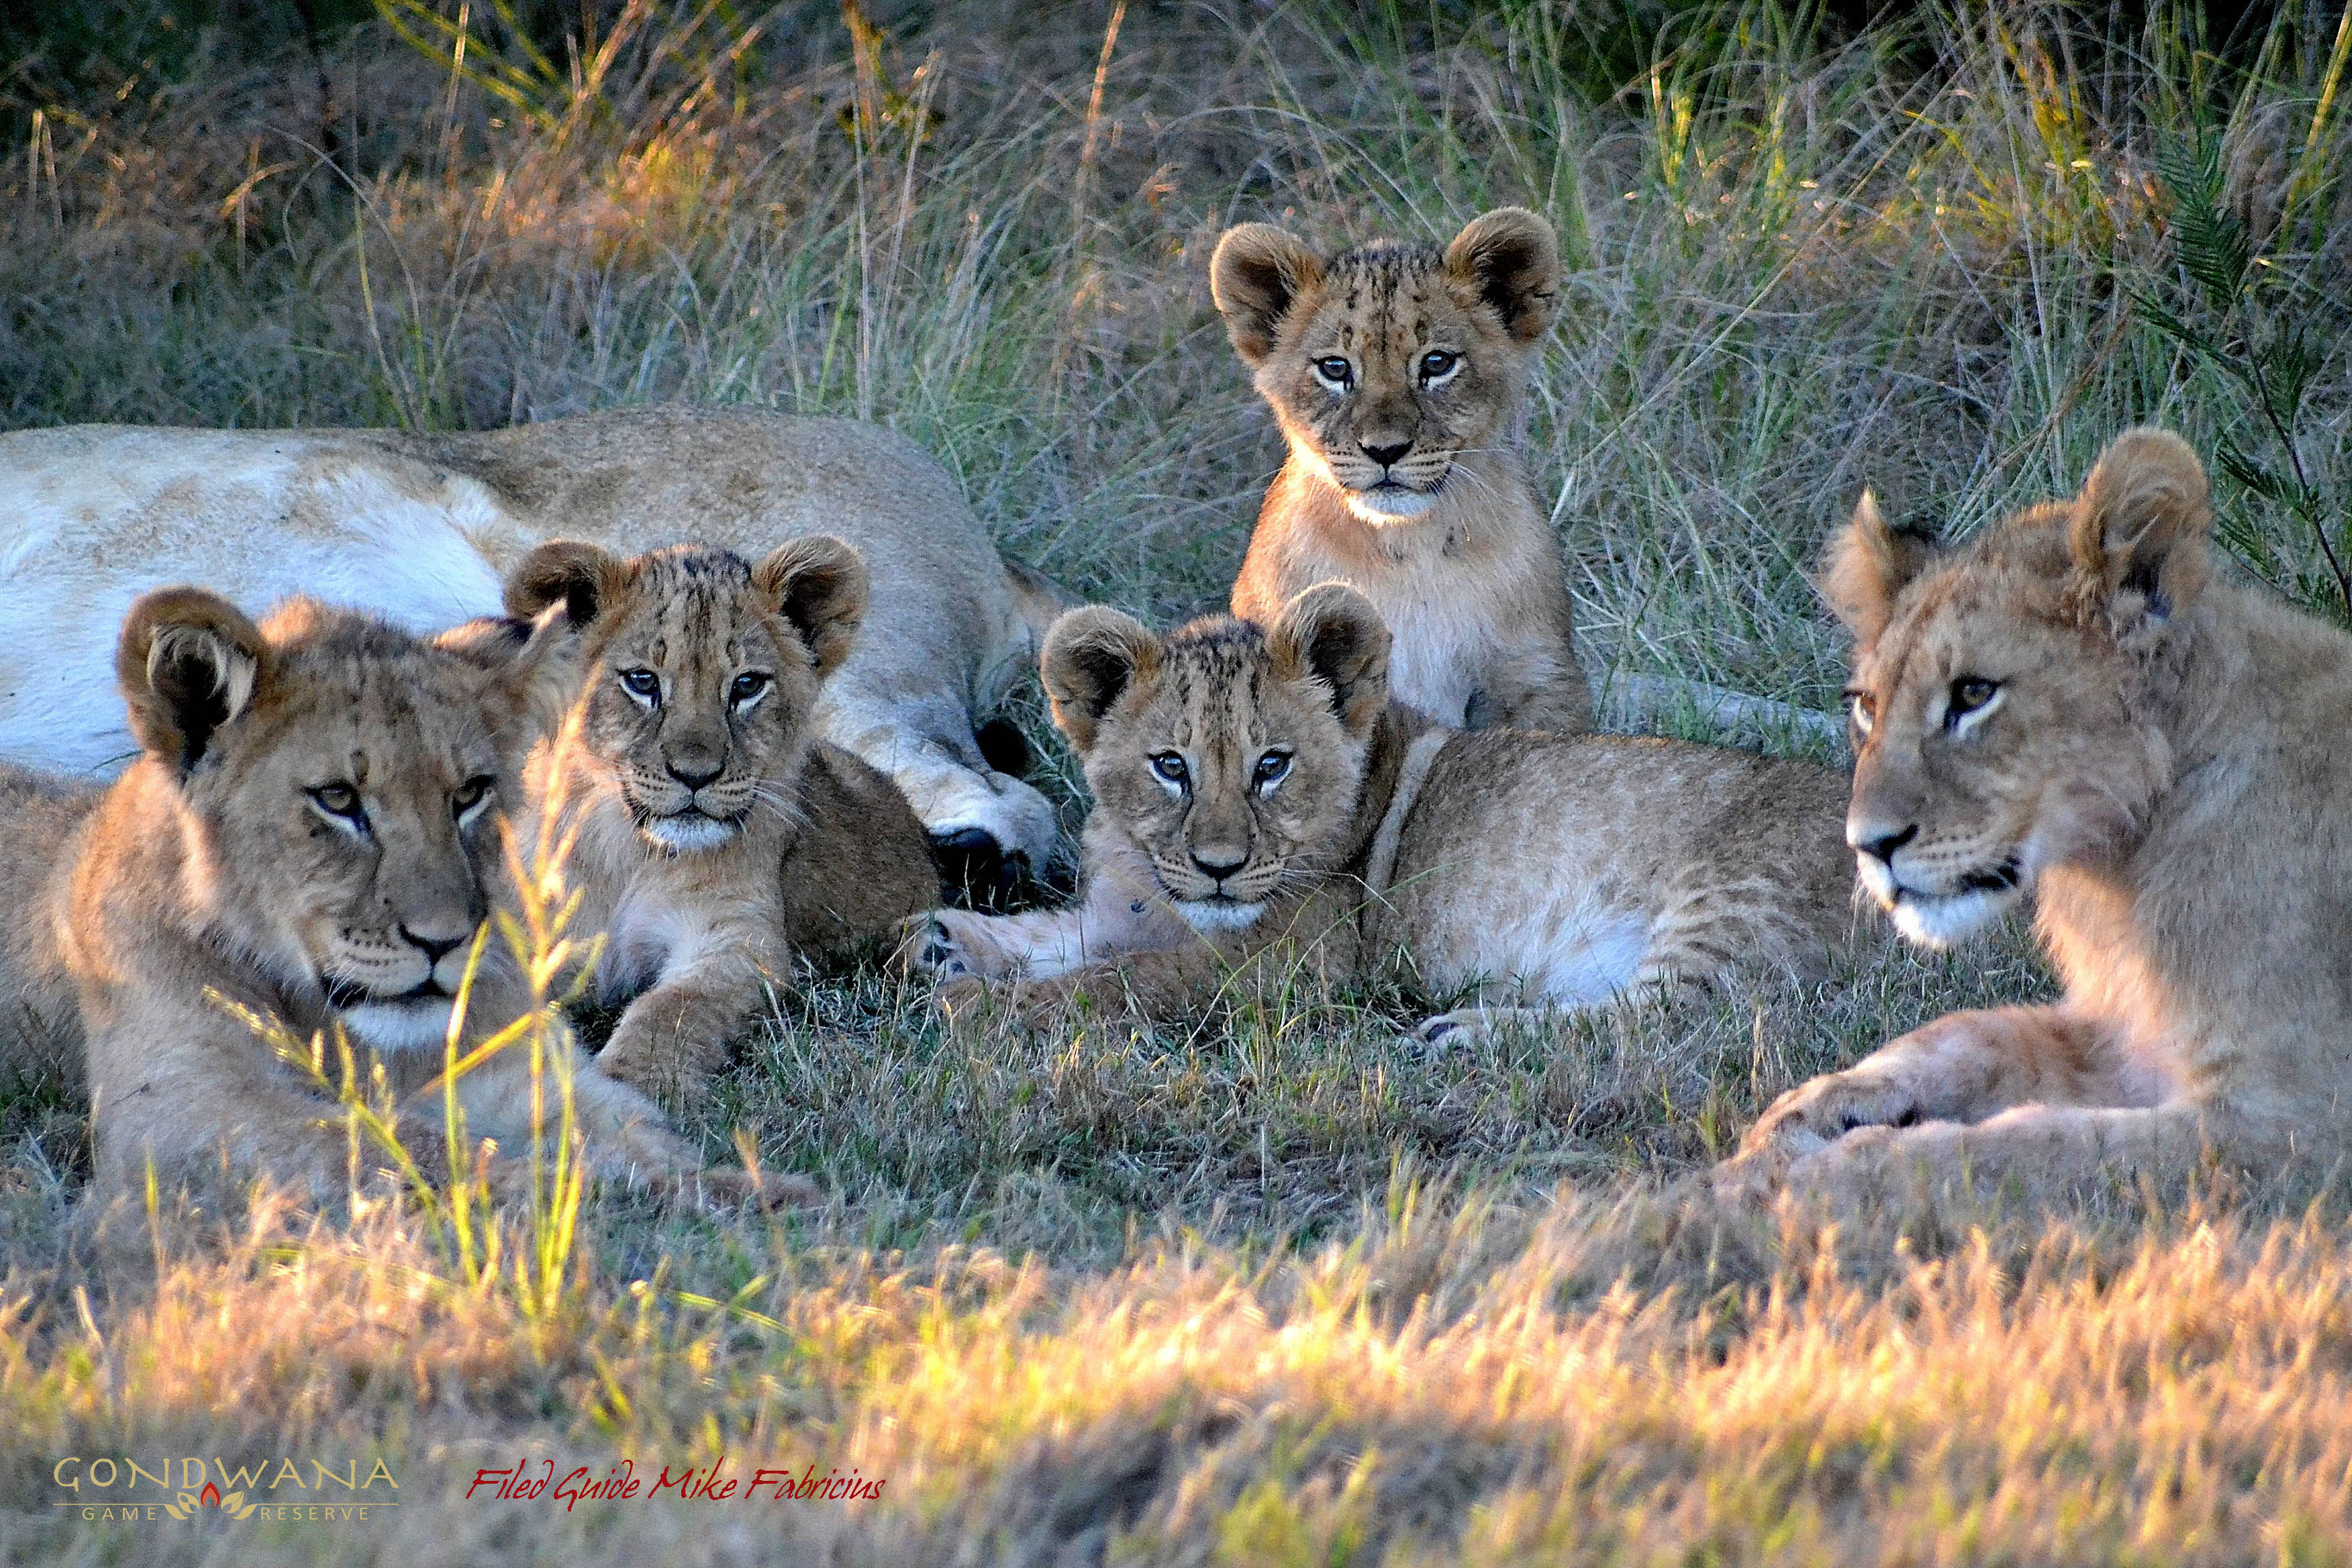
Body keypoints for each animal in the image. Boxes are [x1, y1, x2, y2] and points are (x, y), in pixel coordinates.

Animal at [0, 587, 796, 1208]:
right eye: (338, 800)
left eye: (469, 795)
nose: (443, 942)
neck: (358, 1039)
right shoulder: (181, 1110)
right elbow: (393, 1146)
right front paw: (570, 1187)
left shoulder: (523, 1072)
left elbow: (638, 1134)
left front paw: (739, 1192)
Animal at [497, 535, 938, 1100]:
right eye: (642, 681)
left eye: (747, 685)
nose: (695, 775)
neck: (631, 851)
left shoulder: (741, 942)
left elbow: (672, 1010)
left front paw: (637, 1085)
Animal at [904, 583, 1854, 1042]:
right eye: (1170, 766)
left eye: (1273, 766)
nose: (1219, 869)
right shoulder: (1124, 913)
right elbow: (1056, 935)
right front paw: (944, 938)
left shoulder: (1291, 969)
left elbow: (1115, 984)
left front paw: (975, 1007)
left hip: (1729, 901)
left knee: (1665, 1021)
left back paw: (1460, 1032)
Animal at [1712, 428, 2352, 1212]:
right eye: (1867, 705)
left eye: (1973, 694)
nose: (1868, 846)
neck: (2120, 871)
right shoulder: (2122, 1030)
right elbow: (1975, 1033)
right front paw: (1803, 1115)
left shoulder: (2297, 1131)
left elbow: (2032, 1149)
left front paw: (1812, 1182)